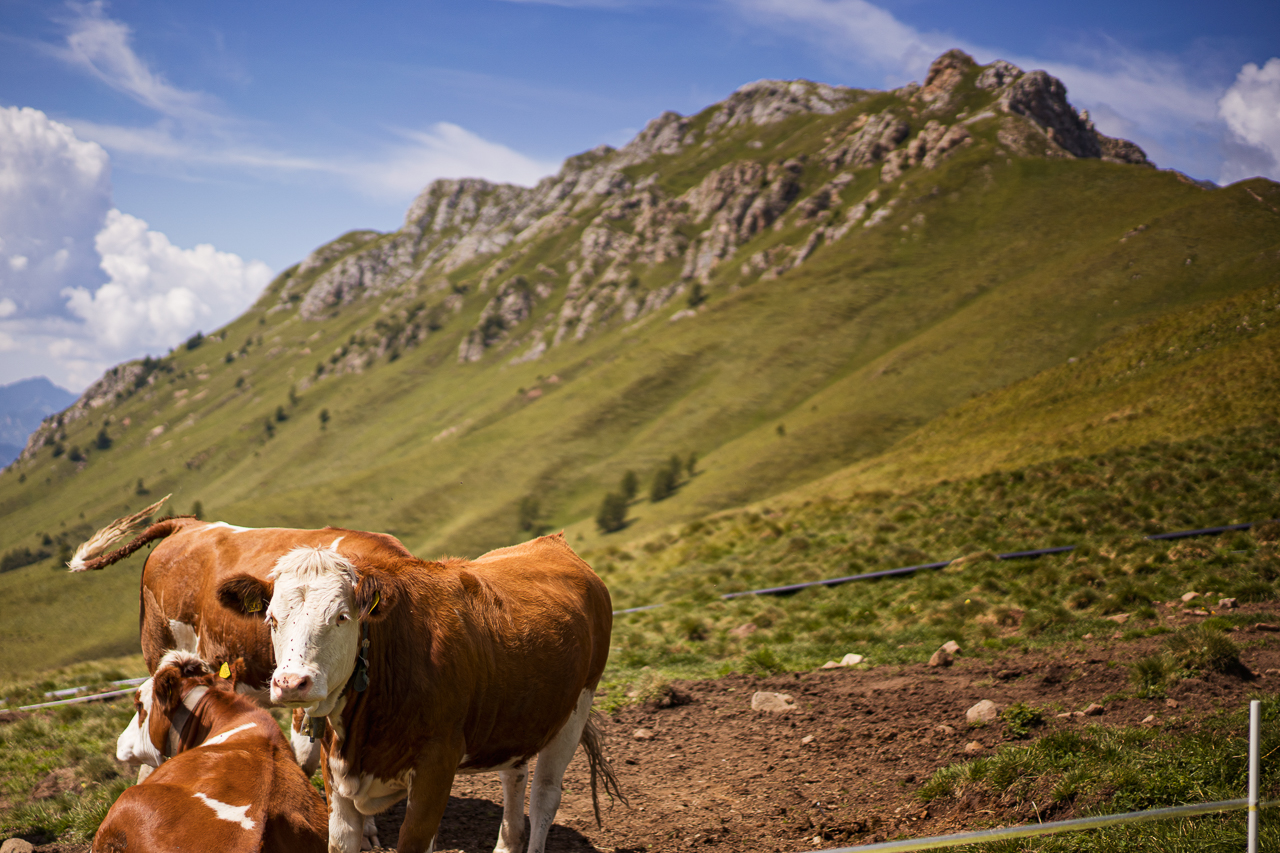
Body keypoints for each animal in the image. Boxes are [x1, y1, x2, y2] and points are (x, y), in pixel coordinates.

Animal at [217, 532, 622, 850]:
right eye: (272, 619)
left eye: (341, 617)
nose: (291, 683)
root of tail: (551, 542)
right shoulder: (335, 773)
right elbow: (340, 841)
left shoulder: (437, 765)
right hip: (515, 717)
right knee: (514, 777)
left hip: (576, 710)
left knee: (544, 798)